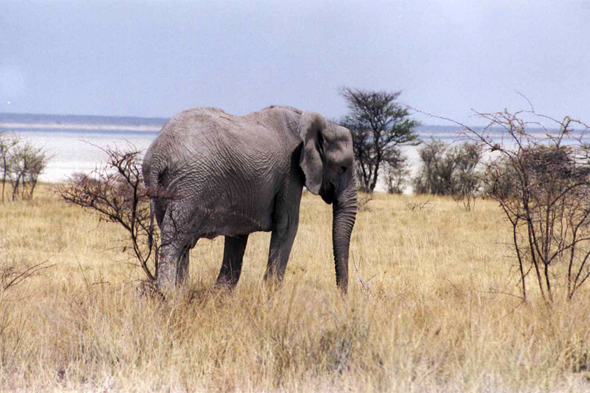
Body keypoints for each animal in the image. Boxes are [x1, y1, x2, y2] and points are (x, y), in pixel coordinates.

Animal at [143, 105, 358, 292]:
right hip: (190, 185)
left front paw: (220, 294)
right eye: (343, 167)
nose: (341, 294)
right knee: (176, 238)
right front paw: (271, 296)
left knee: (180, 241)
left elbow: (237, 234)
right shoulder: (290, 172)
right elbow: (288, 226)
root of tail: (158, 154)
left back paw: (179, 292)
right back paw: (168, 295)